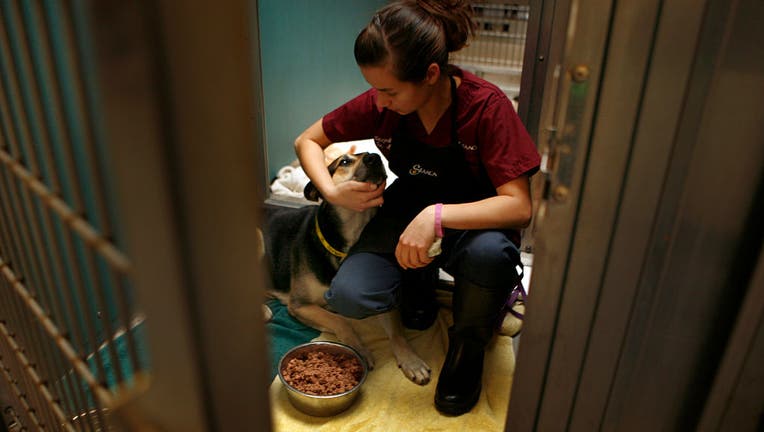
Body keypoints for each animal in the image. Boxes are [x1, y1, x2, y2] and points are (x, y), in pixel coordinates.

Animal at [262, 151, 430, 384]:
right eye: (344, 162)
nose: (375, 157)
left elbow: (397, 332)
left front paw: (411, 360)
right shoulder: (299, 305)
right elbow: (341, 321)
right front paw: (360, 349)